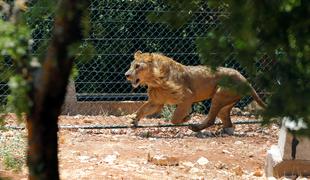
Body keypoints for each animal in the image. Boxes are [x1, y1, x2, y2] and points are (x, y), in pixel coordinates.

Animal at [124, 50, 266, 134]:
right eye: (131, 65)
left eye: (137, 66)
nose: (126, 75)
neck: (155, 80)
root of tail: (244, 78)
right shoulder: (156, 102)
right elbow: (142, 110)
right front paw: (133, 121)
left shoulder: (188, 96)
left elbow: (175, 118)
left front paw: (187, 117)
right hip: (225, 103)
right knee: (226, 120)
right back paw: (224, 132)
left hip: (219, 95)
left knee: (211, 119)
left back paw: (195, 128)